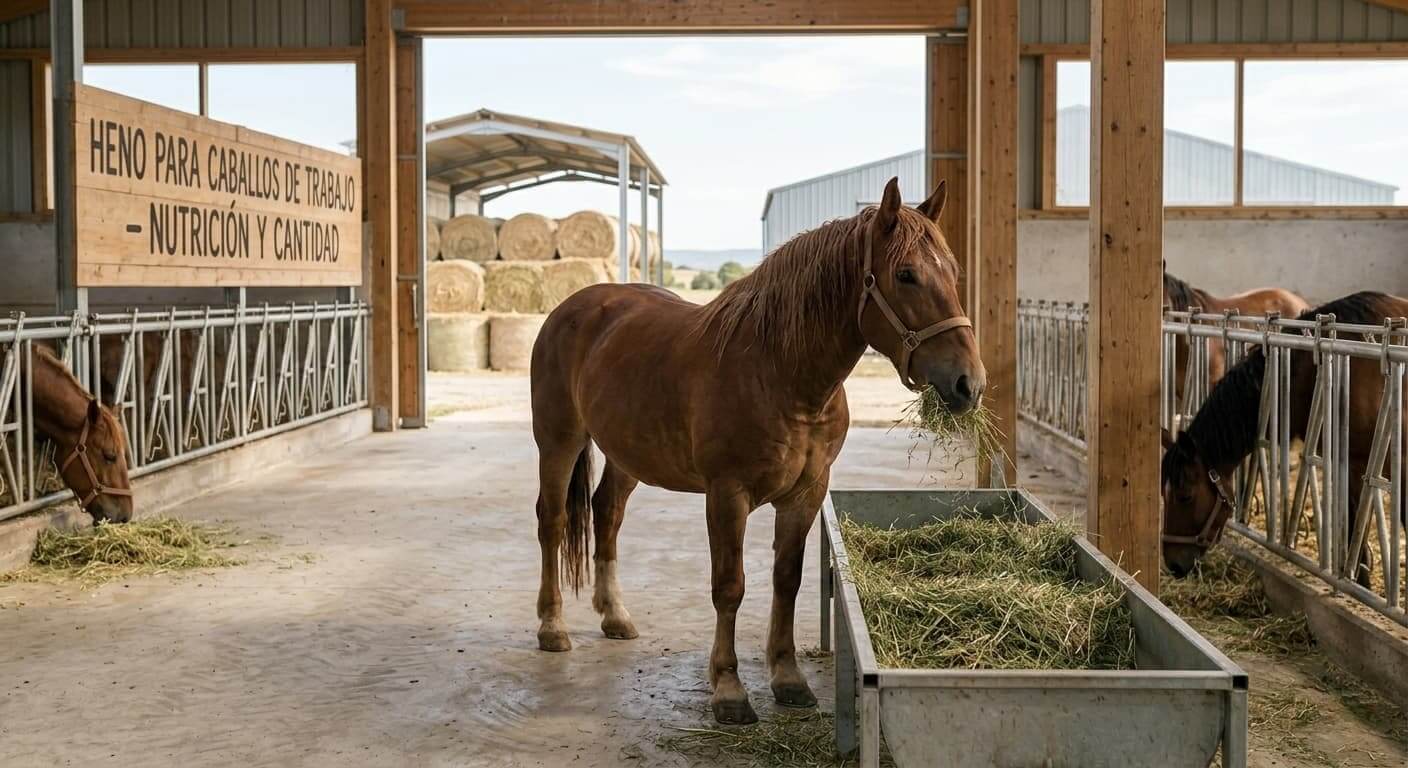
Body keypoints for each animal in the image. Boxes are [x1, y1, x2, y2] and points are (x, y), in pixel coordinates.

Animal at [529, 178, 983, 724]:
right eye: (906, 274)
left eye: (954, 272)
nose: (969, 384)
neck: (780, 372)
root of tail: (573, 307)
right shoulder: (728, 495)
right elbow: (730, 586)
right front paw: (728, 689)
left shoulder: (807, 493)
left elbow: (786, 580)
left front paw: (788, 679)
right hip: (558, 441)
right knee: (553, 521)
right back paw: (552, 627)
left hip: (626, 452)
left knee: (607, 512)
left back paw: (615, 615)